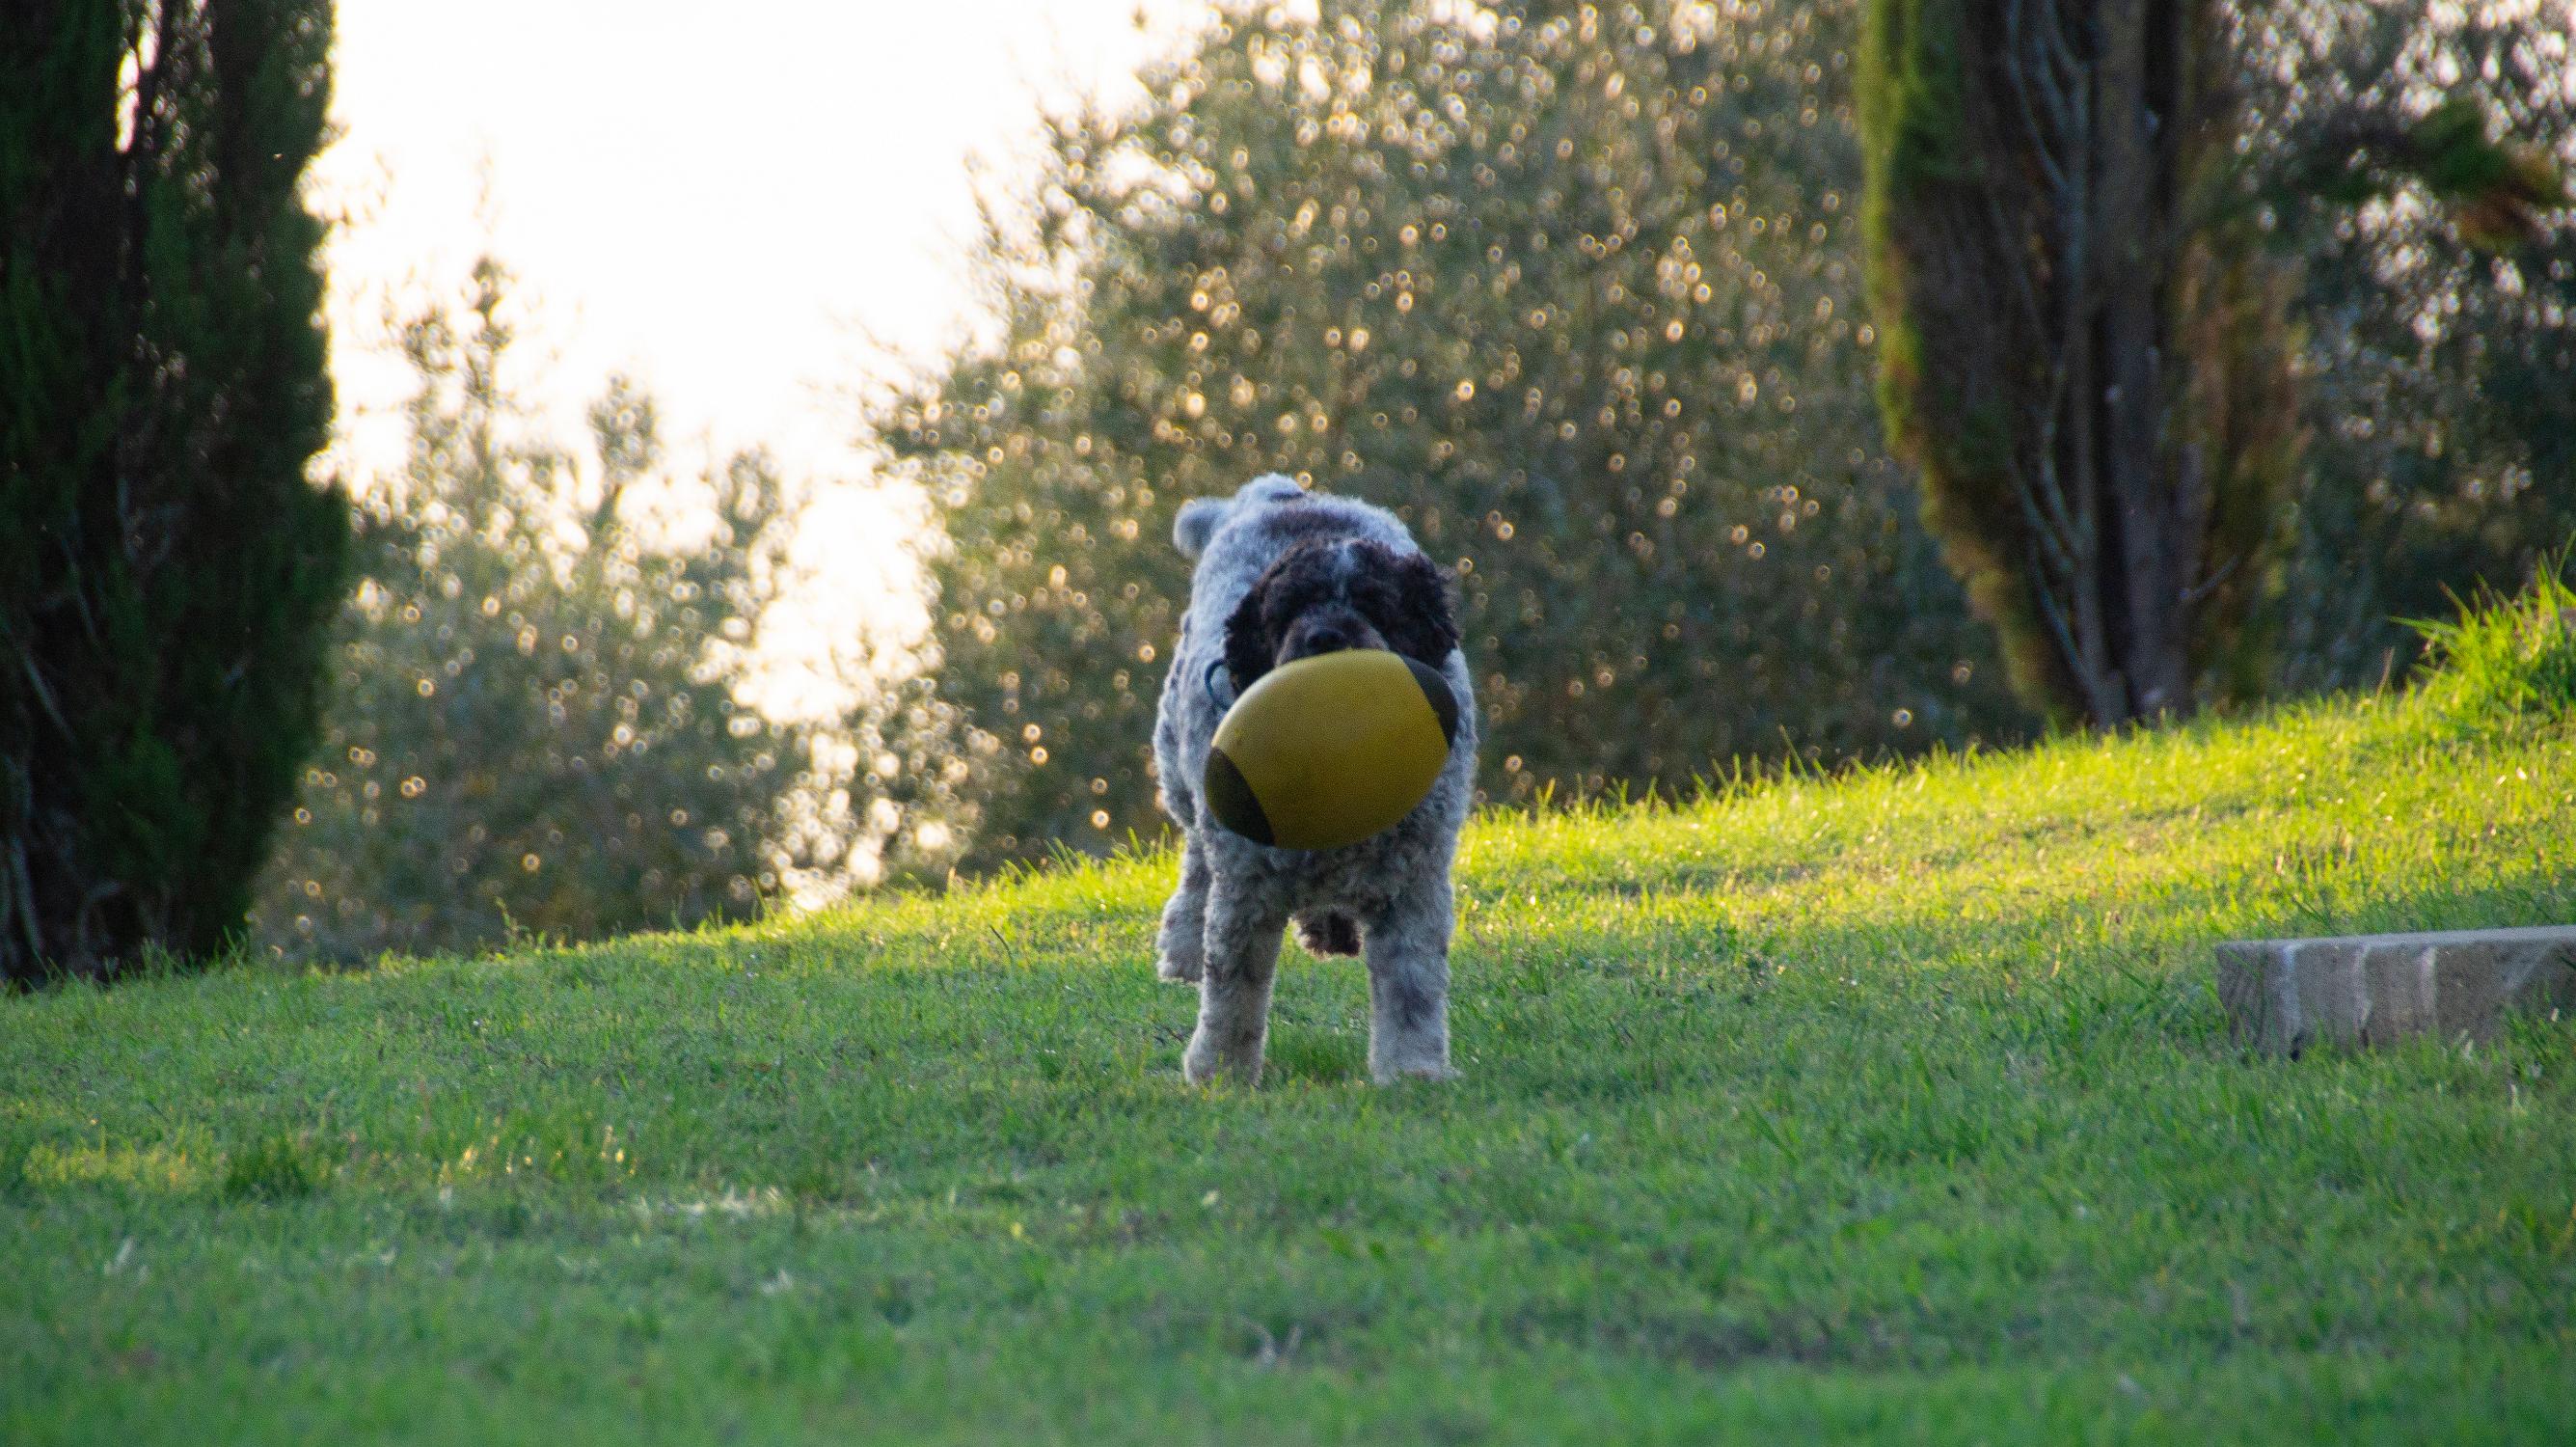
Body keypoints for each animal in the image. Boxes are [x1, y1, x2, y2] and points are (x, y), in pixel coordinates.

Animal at [1152, 474, 1478, 1086]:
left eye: (1377, 604)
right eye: (1288, 609)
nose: (1325, 636)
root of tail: (1278, 492)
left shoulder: (1414, 884)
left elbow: (1413, 988)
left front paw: (1413, 1072)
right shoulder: (1248, 884)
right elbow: (1234, 990)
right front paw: (1221, 1075)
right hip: (1180, 771)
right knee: (1196, 861)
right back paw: (1182, 947)